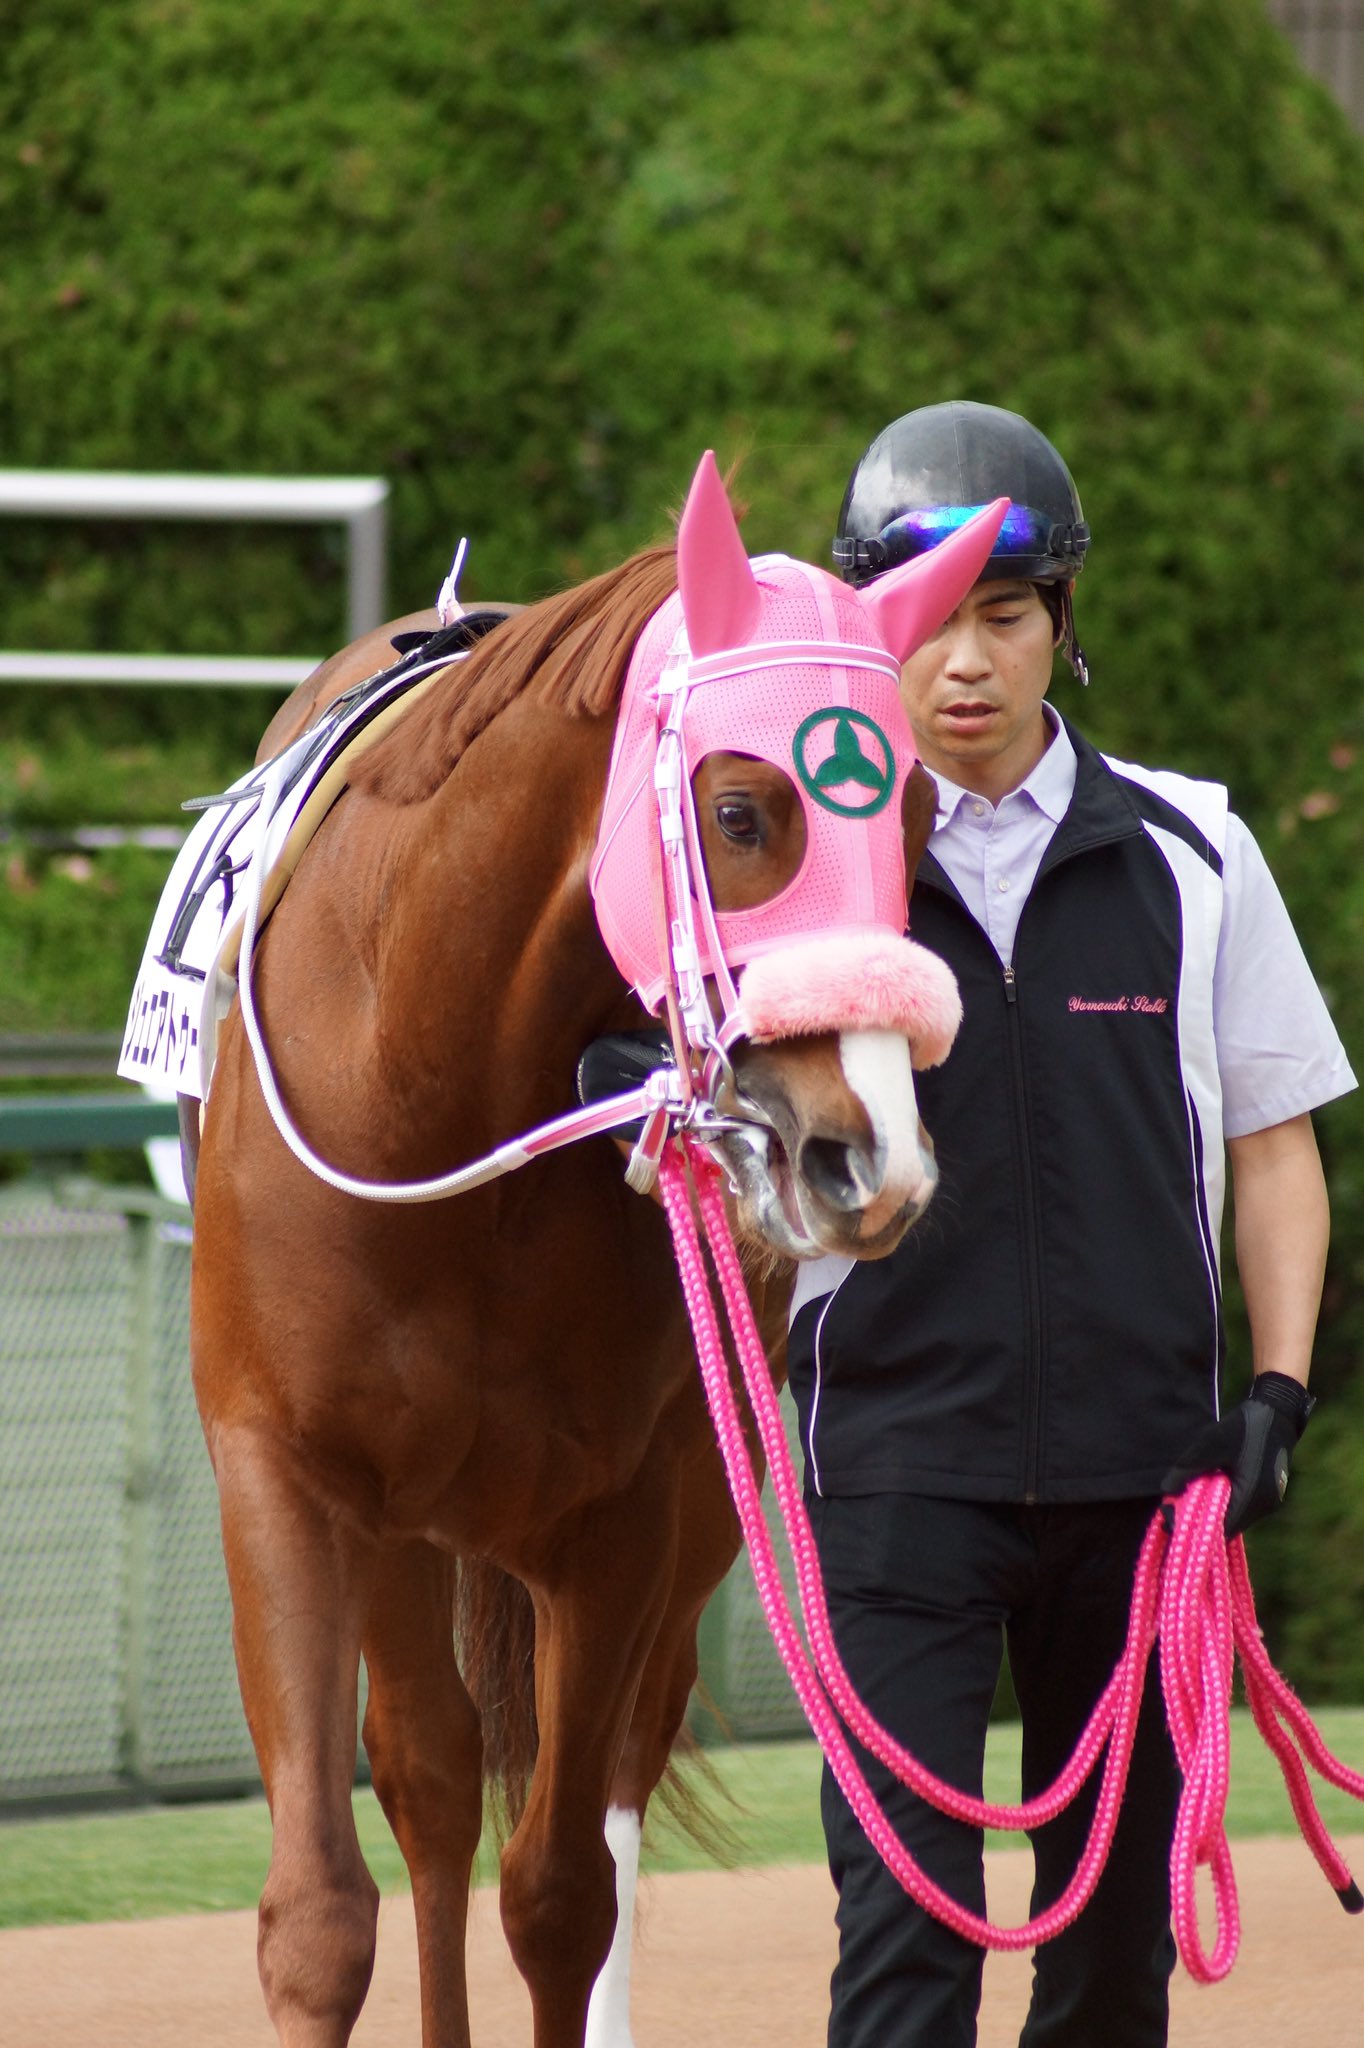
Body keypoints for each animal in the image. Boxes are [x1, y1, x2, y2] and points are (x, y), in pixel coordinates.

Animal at [185, 453, 1004, 2047]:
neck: (432, 1092)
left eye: (917, 820)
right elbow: (319, 1914)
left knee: (601, 1788)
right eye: (742, 812)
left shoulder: (623, 1511)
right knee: (431, 1774)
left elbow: (563, 1894)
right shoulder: (287, 1474)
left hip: (685, 1512)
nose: (870, 1158)